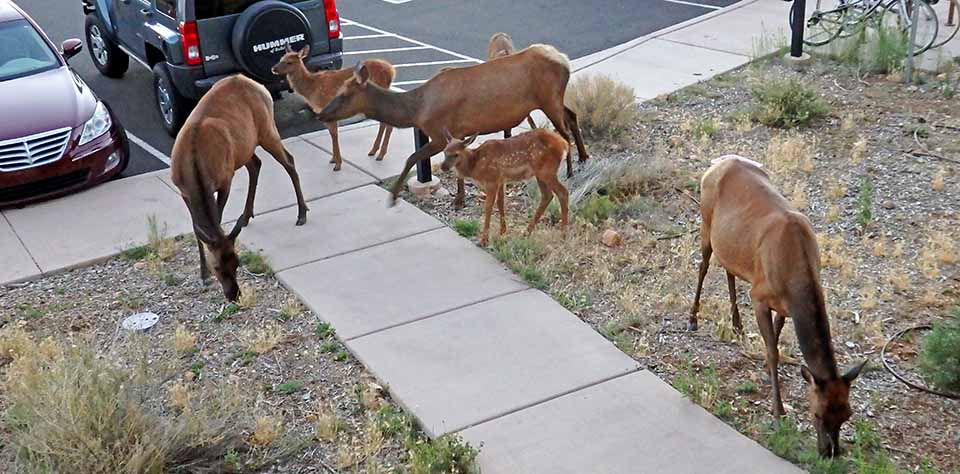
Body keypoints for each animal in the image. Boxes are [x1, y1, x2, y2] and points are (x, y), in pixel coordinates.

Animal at [171, 76, 310, 302]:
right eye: (217, 267)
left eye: (237, 263)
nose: (234, 295)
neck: (194, 168)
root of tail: (257, 85)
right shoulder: (184, 191)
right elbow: (196, 229)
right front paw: (203, 275)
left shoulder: (225, 178)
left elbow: (216, 220)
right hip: (244, 147)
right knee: (256, 164)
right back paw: (246, 217)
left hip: (267, 130)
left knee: (288, 161)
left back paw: (301, 213)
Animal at [312, 41, 588, 208]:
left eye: (344, 93)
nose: (320, 114)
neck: (417, 109)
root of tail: (564, 59)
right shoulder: (455, 133)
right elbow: (454, 166)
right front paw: (459, 199)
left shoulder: (437, 132)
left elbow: (412, 158)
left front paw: (393, 196)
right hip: (555, 99)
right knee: (573, 117)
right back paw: (585, 158)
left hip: (548, 99)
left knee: (564, 132)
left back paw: (571, 171)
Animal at [688, 156, 872, 460]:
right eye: (817, 413)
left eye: (847, 413)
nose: (830, 453)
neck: (795, 271)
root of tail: (718, 162)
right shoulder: (760, 295)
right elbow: (773, 350)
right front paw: (778, 411)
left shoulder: (785, 307)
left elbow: (772, 339)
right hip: (705, 220)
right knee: (703, 265)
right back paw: (692, 318)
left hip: (732, 242)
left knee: (728, 269)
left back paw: (737, 324)